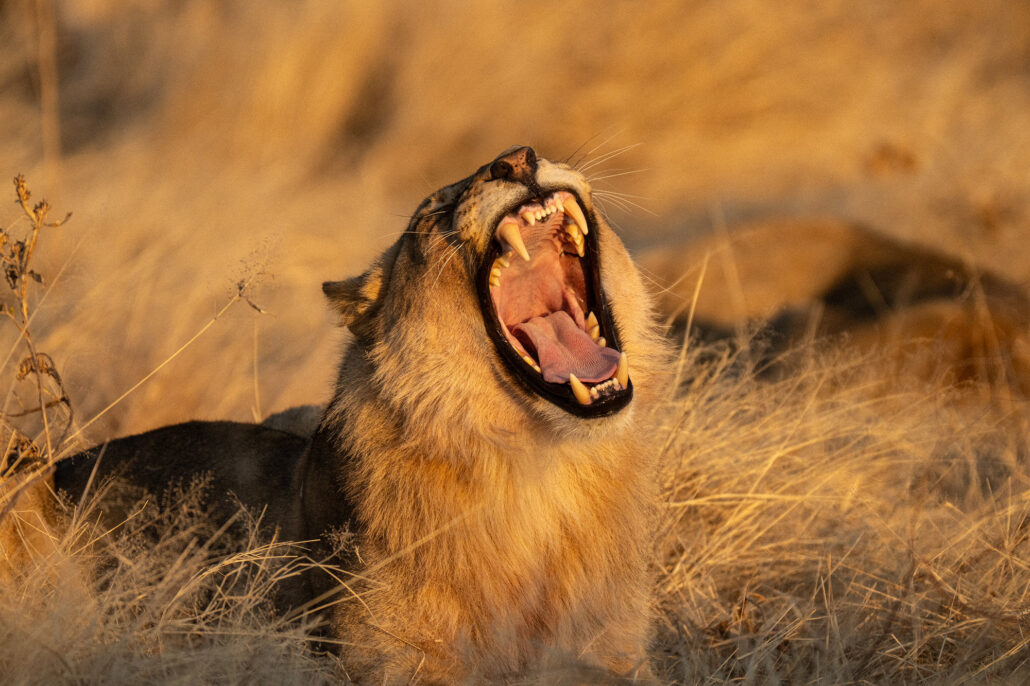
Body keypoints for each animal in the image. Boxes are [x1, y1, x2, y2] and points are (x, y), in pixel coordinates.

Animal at [51, 146, 669, 683]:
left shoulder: (610, 653)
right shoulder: (390, 660)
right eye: (434, 212)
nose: (515, 158)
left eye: (526, 153)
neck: (543, 470)